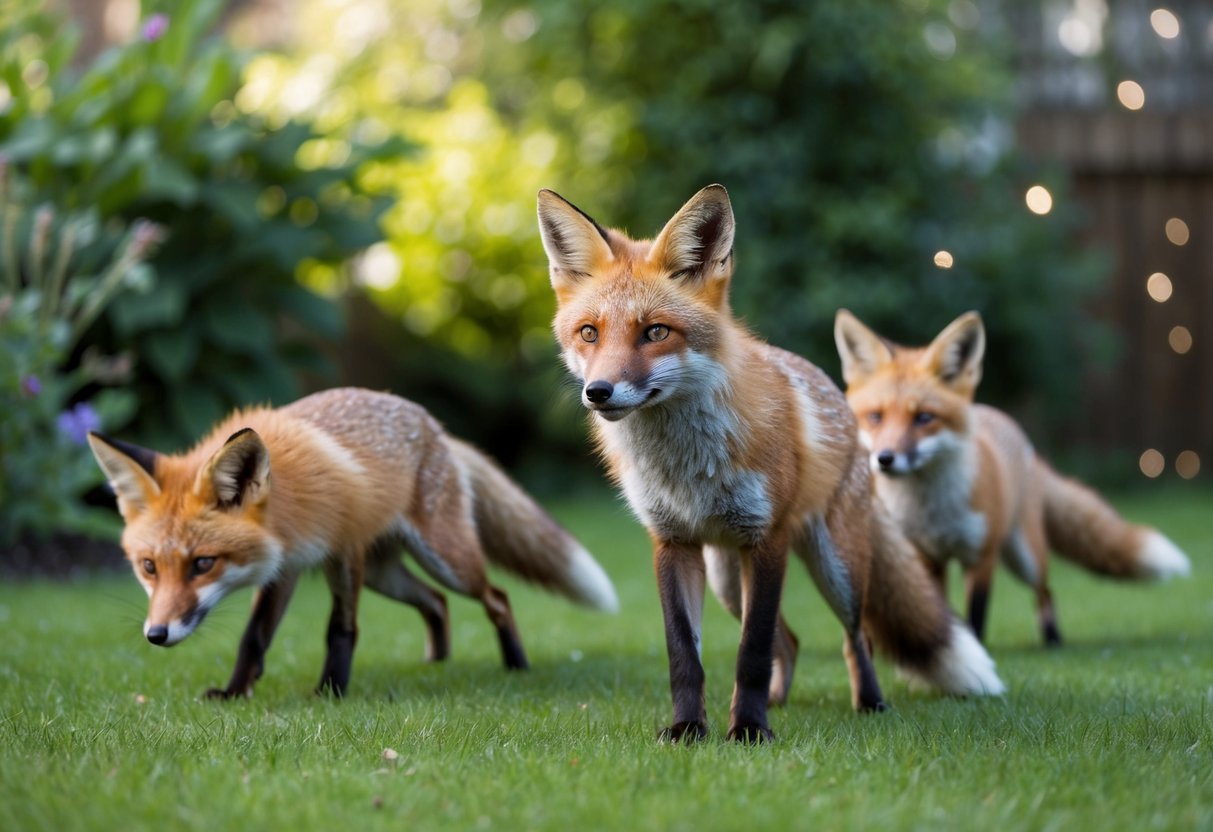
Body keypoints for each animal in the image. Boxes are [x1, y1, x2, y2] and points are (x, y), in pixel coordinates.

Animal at [87, 387, 618, 699]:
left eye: (203, 564)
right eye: (148, 567)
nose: (156, 635)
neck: (286, 508)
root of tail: (437, 427)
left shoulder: (344, 550)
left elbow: (340, 629)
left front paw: (330, 692)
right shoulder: (284, 567)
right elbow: (253, 637)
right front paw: (236, 692)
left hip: (445, 558)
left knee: (497, 597)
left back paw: (516, 665)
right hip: (389, 574)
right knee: (437, 602)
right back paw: (437, 663)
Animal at [538, 184, 1004, 743]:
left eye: (655, 332)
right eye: (589, 333)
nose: (598, 391)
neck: (686, 468)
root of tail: (844, 400)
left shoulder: (767, 538)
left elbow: (752, 651)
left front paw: (749, 731)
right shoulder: (672, 542)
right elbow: (685, 654)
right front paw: (689, 728)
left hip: (835, 567)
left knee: (856, 638)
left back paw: (869, 703)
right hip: (725, 577)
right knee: (792, 641)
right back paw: (780, 701)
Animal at [834, 309, 1191, 646]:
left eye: (924, 417)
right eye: (875, 417)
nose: (885, 459)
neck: (930, 510)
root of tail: (1011, 428)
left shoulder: (981, 556)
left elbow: (976, 618)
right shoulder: (925, 557)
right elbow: (938, 614)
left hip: (1026, 556)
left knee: (1046, 591)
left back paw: (1053, 638)